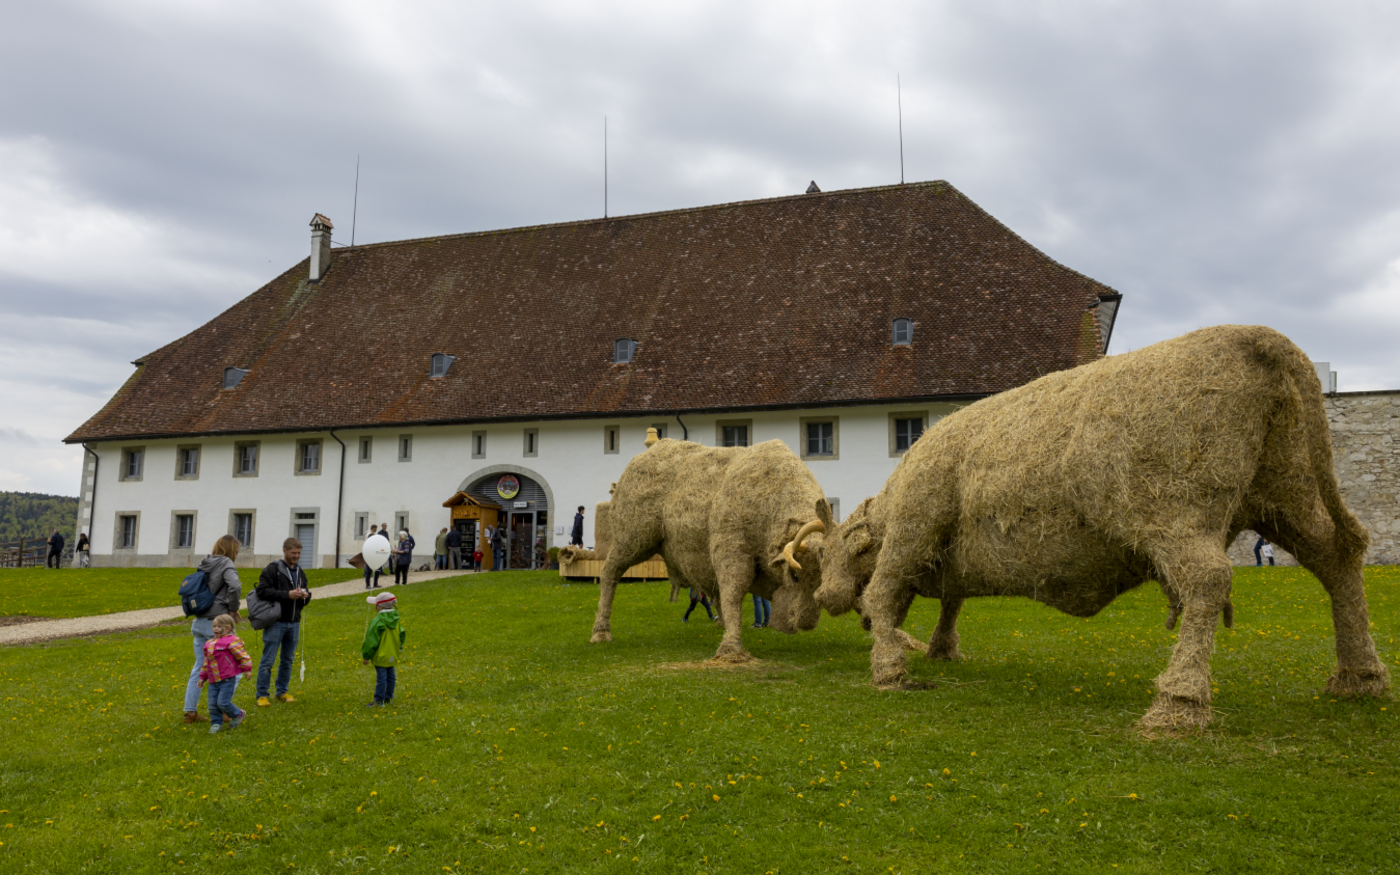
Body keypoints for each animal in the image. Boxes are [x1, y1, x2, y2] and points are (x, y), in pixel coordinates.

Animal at [805, 325, 1389, 728]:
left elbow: (883, 595)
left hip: (1174, 513)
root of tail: (1251, 335)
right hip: (1287, 493)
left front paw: (889, 671)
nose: (825, 596)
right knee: (1338, 560)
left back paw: (1178, 701)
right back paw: (1359, 677)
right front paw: (938, 651)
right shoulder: (946, 562)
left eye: (833, 556)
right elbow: (949, 603)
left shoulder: (915, 527)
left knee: (1208, 578)